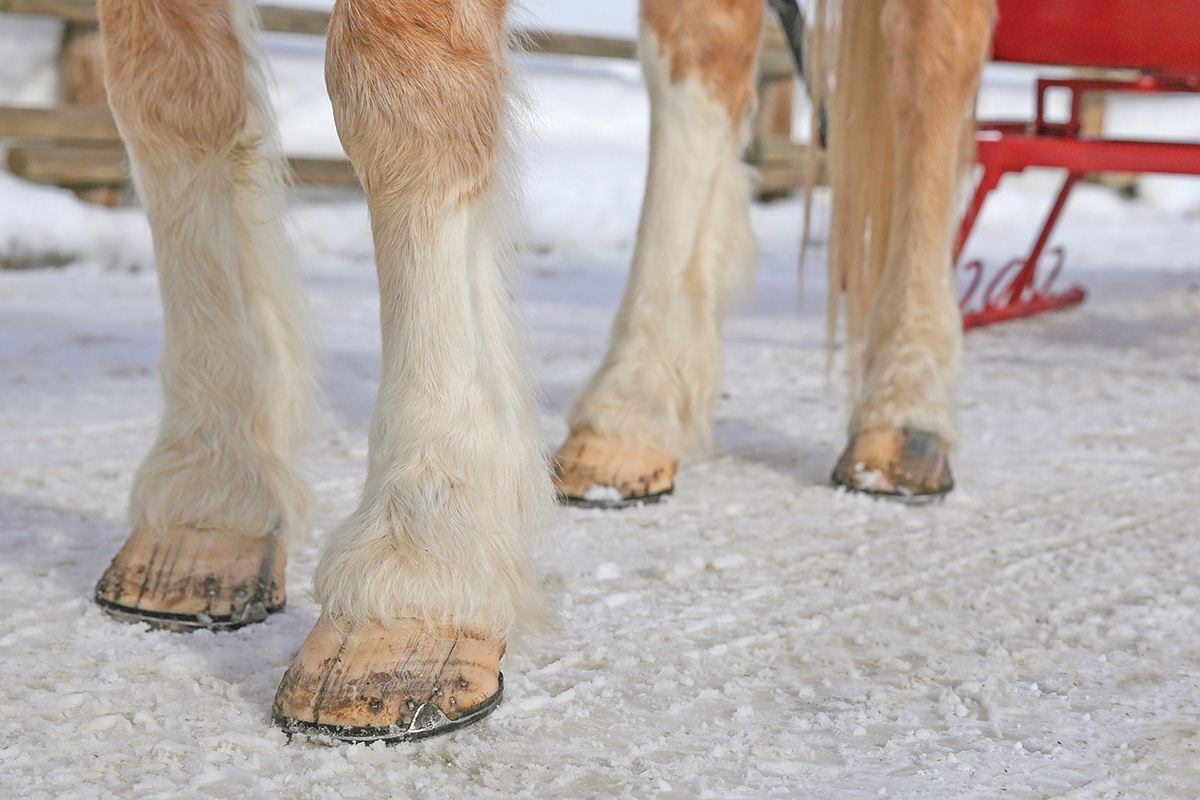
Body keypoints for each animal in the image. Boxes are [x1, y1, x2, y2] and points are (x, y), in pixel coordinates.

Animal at [90, 0, 994, 743]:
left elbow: (399, 86)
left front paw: (419, 574)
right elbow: (163, 86)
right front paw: (210, 498)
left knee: (930, 65)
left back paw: (903, 408)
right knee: (704, 49)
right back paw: (633, 410)